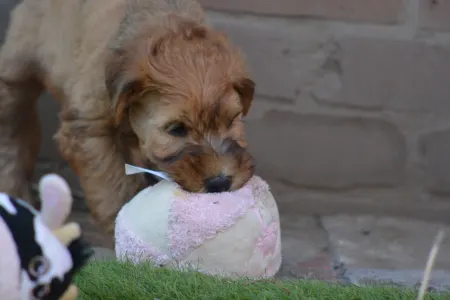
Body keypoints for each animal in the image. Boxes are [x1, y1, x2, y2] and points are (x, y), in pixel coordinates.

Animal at [0, 0, 255, 232]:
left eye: (231, 121)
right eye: (177, 129)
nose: (220, 182)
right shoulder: (89, 130)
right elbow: (113, 189)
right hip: (18, 69)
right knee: (12, 129)